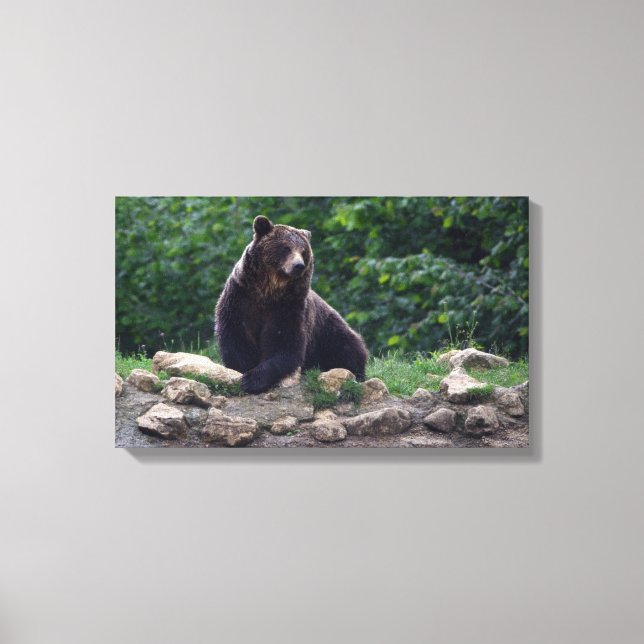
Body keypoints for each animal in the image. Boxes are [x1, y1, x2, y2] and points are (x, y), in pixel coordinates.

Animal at [215, 215, 368, 394]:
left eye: (303, 252)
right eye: (285, 248)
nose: (298, 265)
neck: (267, 291)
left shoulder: (288, 307)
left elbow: (285, 345)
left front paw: (252, 380)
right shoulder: (240, 299)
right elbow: (236, 339)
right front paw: (244, 371)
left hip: (328, 332)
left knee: (348, 349)